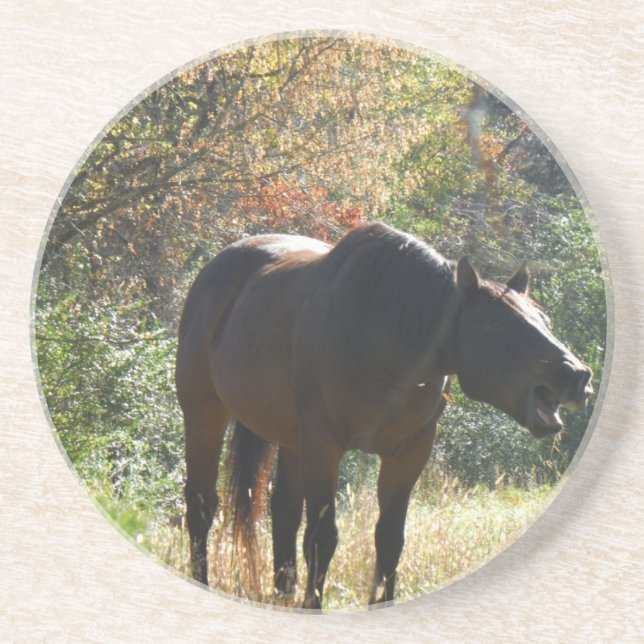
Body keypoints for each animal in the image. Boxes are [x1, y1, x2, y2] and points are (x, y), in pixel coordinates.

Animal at [175, 221, 592, 608]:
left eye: (544, 320)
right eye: (495, 323)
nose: (577, 376)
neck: (382, 332)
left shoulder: (409, 452)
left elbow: (390, 540)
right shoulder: (324, 445)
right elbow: (322, 537)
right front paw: (314, 606)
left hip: (292, 440)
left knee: (284, 512)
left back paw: (283, 595)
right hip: (204, 413)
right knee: (201, 506)